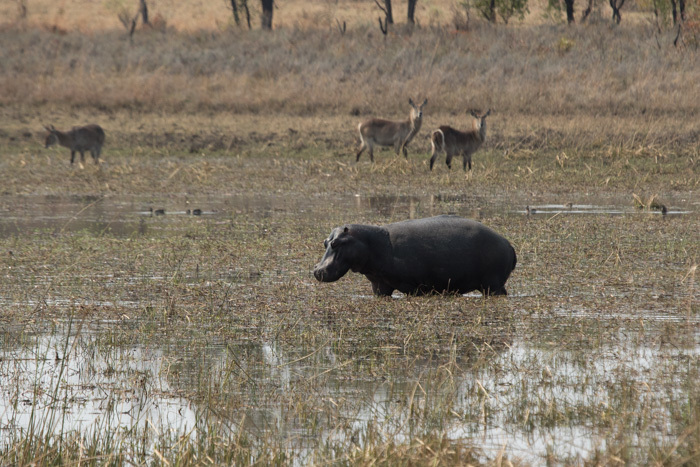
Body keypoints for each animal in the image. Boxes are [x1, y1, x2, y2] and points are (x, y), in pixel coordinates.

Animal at [314, 216, 516, 296]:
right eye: (325, 242)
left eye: (336, 243)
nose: (317, 270)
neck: (371, 242)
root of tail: (509, 244)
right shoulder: (379, 285)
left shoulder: (414, 287)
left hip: (493, 285)